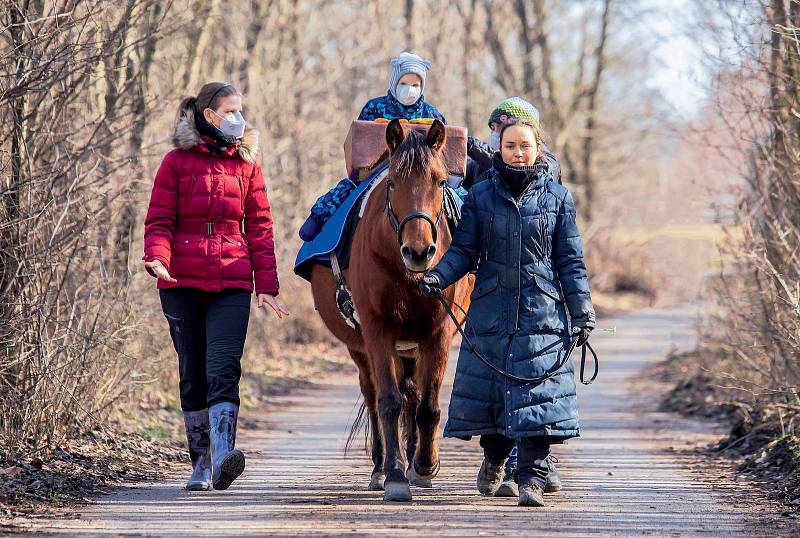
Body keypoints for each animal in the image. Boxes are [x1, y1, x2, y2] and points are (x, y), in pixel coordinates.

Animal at [310, 119, 476, 500]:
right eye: (392, 182)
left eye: (440, 182)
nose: (418, 251)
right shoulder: (377, 330)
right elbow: (388, 401)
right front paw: (396, 474)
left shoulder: (438, 332)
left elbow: (428, 406)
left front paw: (425, 465)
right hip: (362, 348)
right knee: (374, 396)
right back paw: (380, 467)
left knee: (413, 395)